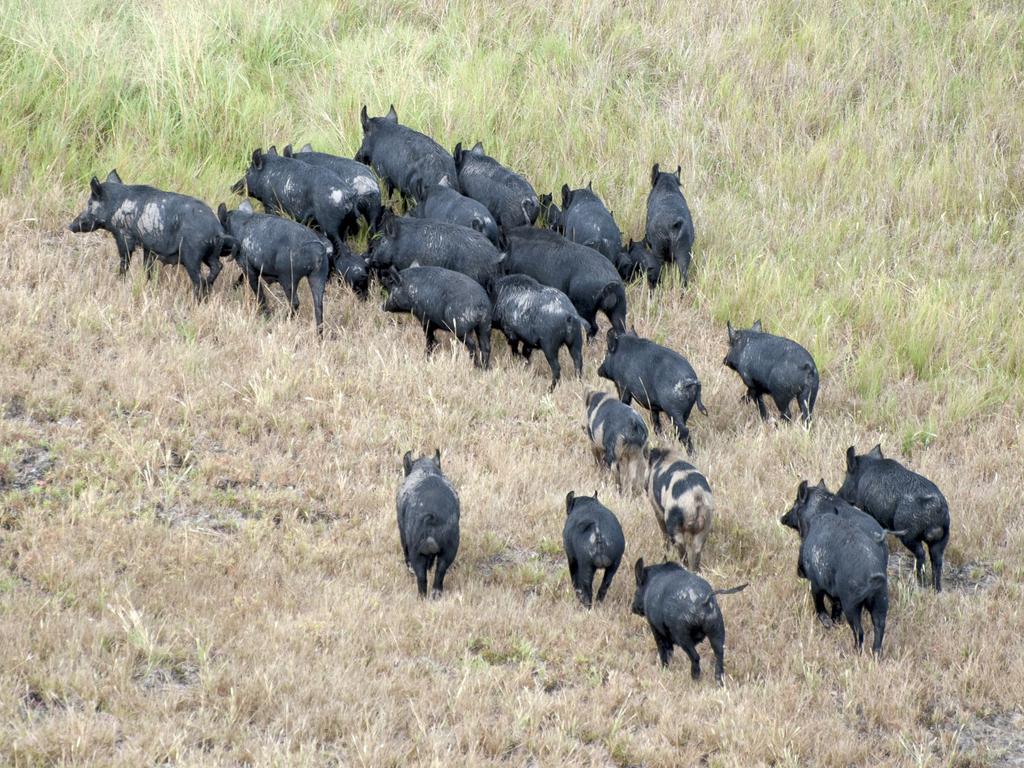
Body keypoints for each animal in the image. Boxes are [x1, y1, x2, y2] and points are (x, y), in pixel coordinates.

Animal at [69, 171, 233, 301]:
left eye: (90, 203)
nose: (70, 226)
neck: (115, 207)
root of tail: (217, 230)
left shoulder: (124, 237)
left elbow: (124, 261)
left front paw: (120, 280)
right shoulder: (149, 247)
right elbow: (147, 266)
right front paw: (148, 283)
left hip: (192, 255)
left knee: (199, 279)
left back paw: (198, 298)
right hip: (210, 254)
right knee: (218, 266)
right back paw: (208, 288)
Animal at [216, 201, 327, 333]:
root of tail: (317, 248)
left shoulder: (248, 268)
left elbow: (259, 294)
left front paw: (266, 315)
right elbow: (240, 279)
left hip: (288, 280)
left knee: (294, 302)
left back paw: (283, 319)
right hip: (317, 279)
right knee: (319, 309)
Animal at [395, 450, 460, 602]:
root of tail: (432, 516)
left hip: (415, 549)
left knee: (421, 576)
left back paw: (421, 598)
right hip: (451, 546)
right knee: (441, 570)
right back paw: (436, 594)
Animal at [782, 481, 888, 655]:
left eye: (795, 502)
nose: (782, 518)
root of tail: (873, 575)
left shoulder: (816, 582)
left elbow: (818, 602)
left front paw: (828, 624)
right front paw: (834, 623)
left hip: (852, 603)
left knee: (859, 631)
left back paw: (853, 652)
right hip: (881, 600)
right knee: (879, 627)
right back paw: (875, 654)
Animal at [839, 442, 950, 593]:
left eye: (847, 474)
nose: (838, 494)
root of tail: (936, 510)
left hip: (908, 534)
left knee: (921, 554)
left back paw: (919, 583)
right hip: (942, 539)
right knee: (937, 561)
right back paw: (936, 589)